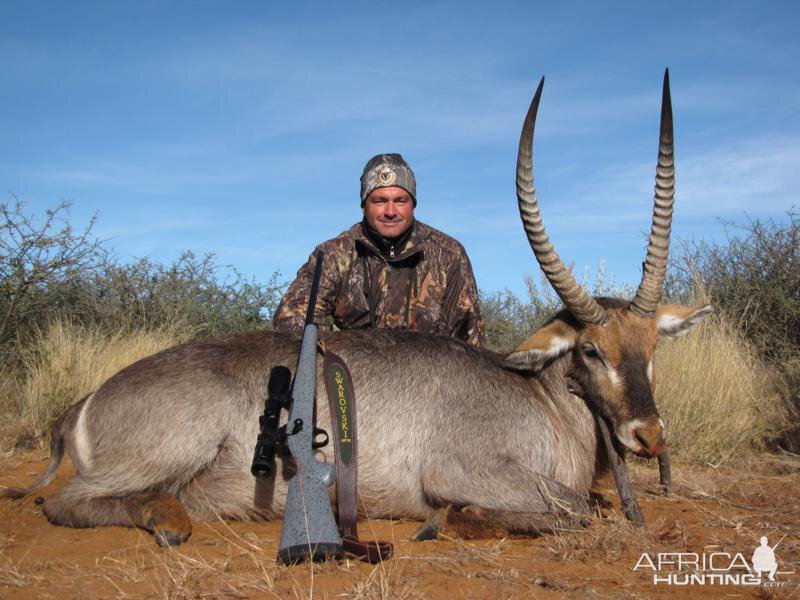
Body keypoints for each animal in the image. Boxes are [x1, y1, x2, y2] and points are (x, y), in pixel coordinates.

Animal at [3, 70, 708, 544]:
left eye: (652, 349)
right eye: (591, 349)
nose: (648, 436)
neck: (539, 397)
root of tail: (81, 405)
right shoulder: (460, 468)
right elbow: (572, 508)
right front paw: (452, 520)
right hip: (168, 451)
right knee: (66, 502)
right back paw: (166, 520)